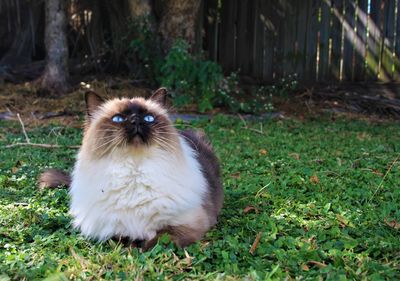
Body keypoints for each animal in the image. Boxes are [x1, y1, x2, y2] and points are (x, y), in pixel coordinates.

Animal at [39, 87, 225, 247]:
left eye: (149, 118)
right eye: (118, 119)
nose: (136, 120)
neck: (134, 170)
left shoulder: (187, 223)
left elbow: (159, 240)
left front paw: (143, 248)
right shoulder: (110, 230)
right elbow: (123, 240)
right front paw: (132, 246)